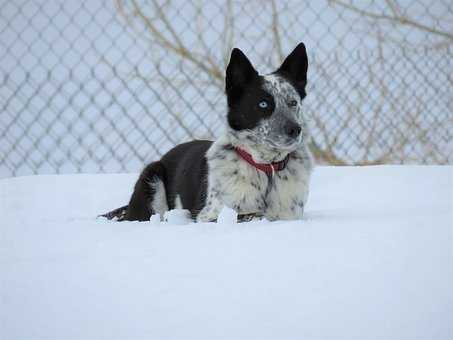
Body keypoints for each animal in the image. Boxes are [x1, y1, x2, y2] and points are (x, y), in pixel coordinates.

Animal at [100, 42, 312, 223]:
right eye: (263, 104)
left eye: (293, 102)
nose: (295, 129)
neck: (266, 169)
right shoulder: (208, 216)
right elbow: (252, 214)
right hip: (153, 176)